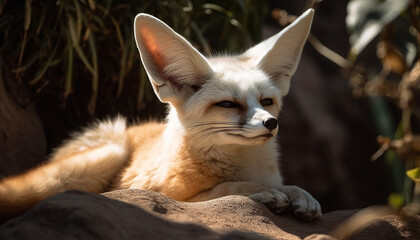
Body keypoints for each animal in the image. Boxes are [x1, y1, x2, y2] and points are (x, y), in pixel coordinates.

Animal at [0, 9, 322, 223]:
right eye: (228, 104)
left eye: (267, 102)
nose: (271, 123)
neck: (243, 165)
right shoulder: (176, 197)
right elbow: (226, 189)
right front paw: (263, 192)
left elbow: (289, 186)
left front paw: (300, 195)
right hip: (108, 154)